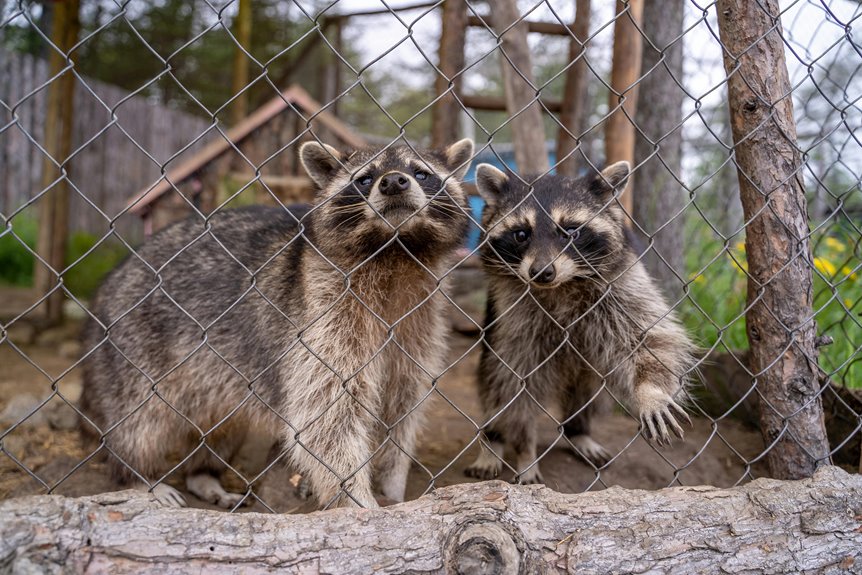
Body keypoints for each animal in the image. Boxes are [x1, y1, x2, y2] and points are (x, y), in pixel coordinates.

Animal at [80, 138, 474, 509]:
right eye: (364, 179)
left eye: (421, 172)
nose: (393, 182)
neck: (394, 252)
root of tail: (110, 284)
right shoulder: (321, 315)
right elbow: (326, 417)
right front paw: (358, 501)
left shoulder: (419, 319)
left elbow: (402, 405)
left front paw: (393, 482)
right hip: (134, 348)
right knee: (141, 423)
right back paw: (137, 474)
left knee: (220, 427)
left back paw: (203, 474)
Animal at [464, 163, 696, 484]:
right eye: (521, 234)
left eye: (570, 231)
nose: (542, 272)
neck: (561, 285)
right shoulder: (512, 314)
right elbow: (514, 382)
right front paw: (525, 452)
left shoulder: (622, 283)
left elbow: (650, 337)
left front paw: (651, 392)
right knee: (494, 386)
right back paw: (493, 441)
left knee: (587, 392)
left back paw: (578, 431)